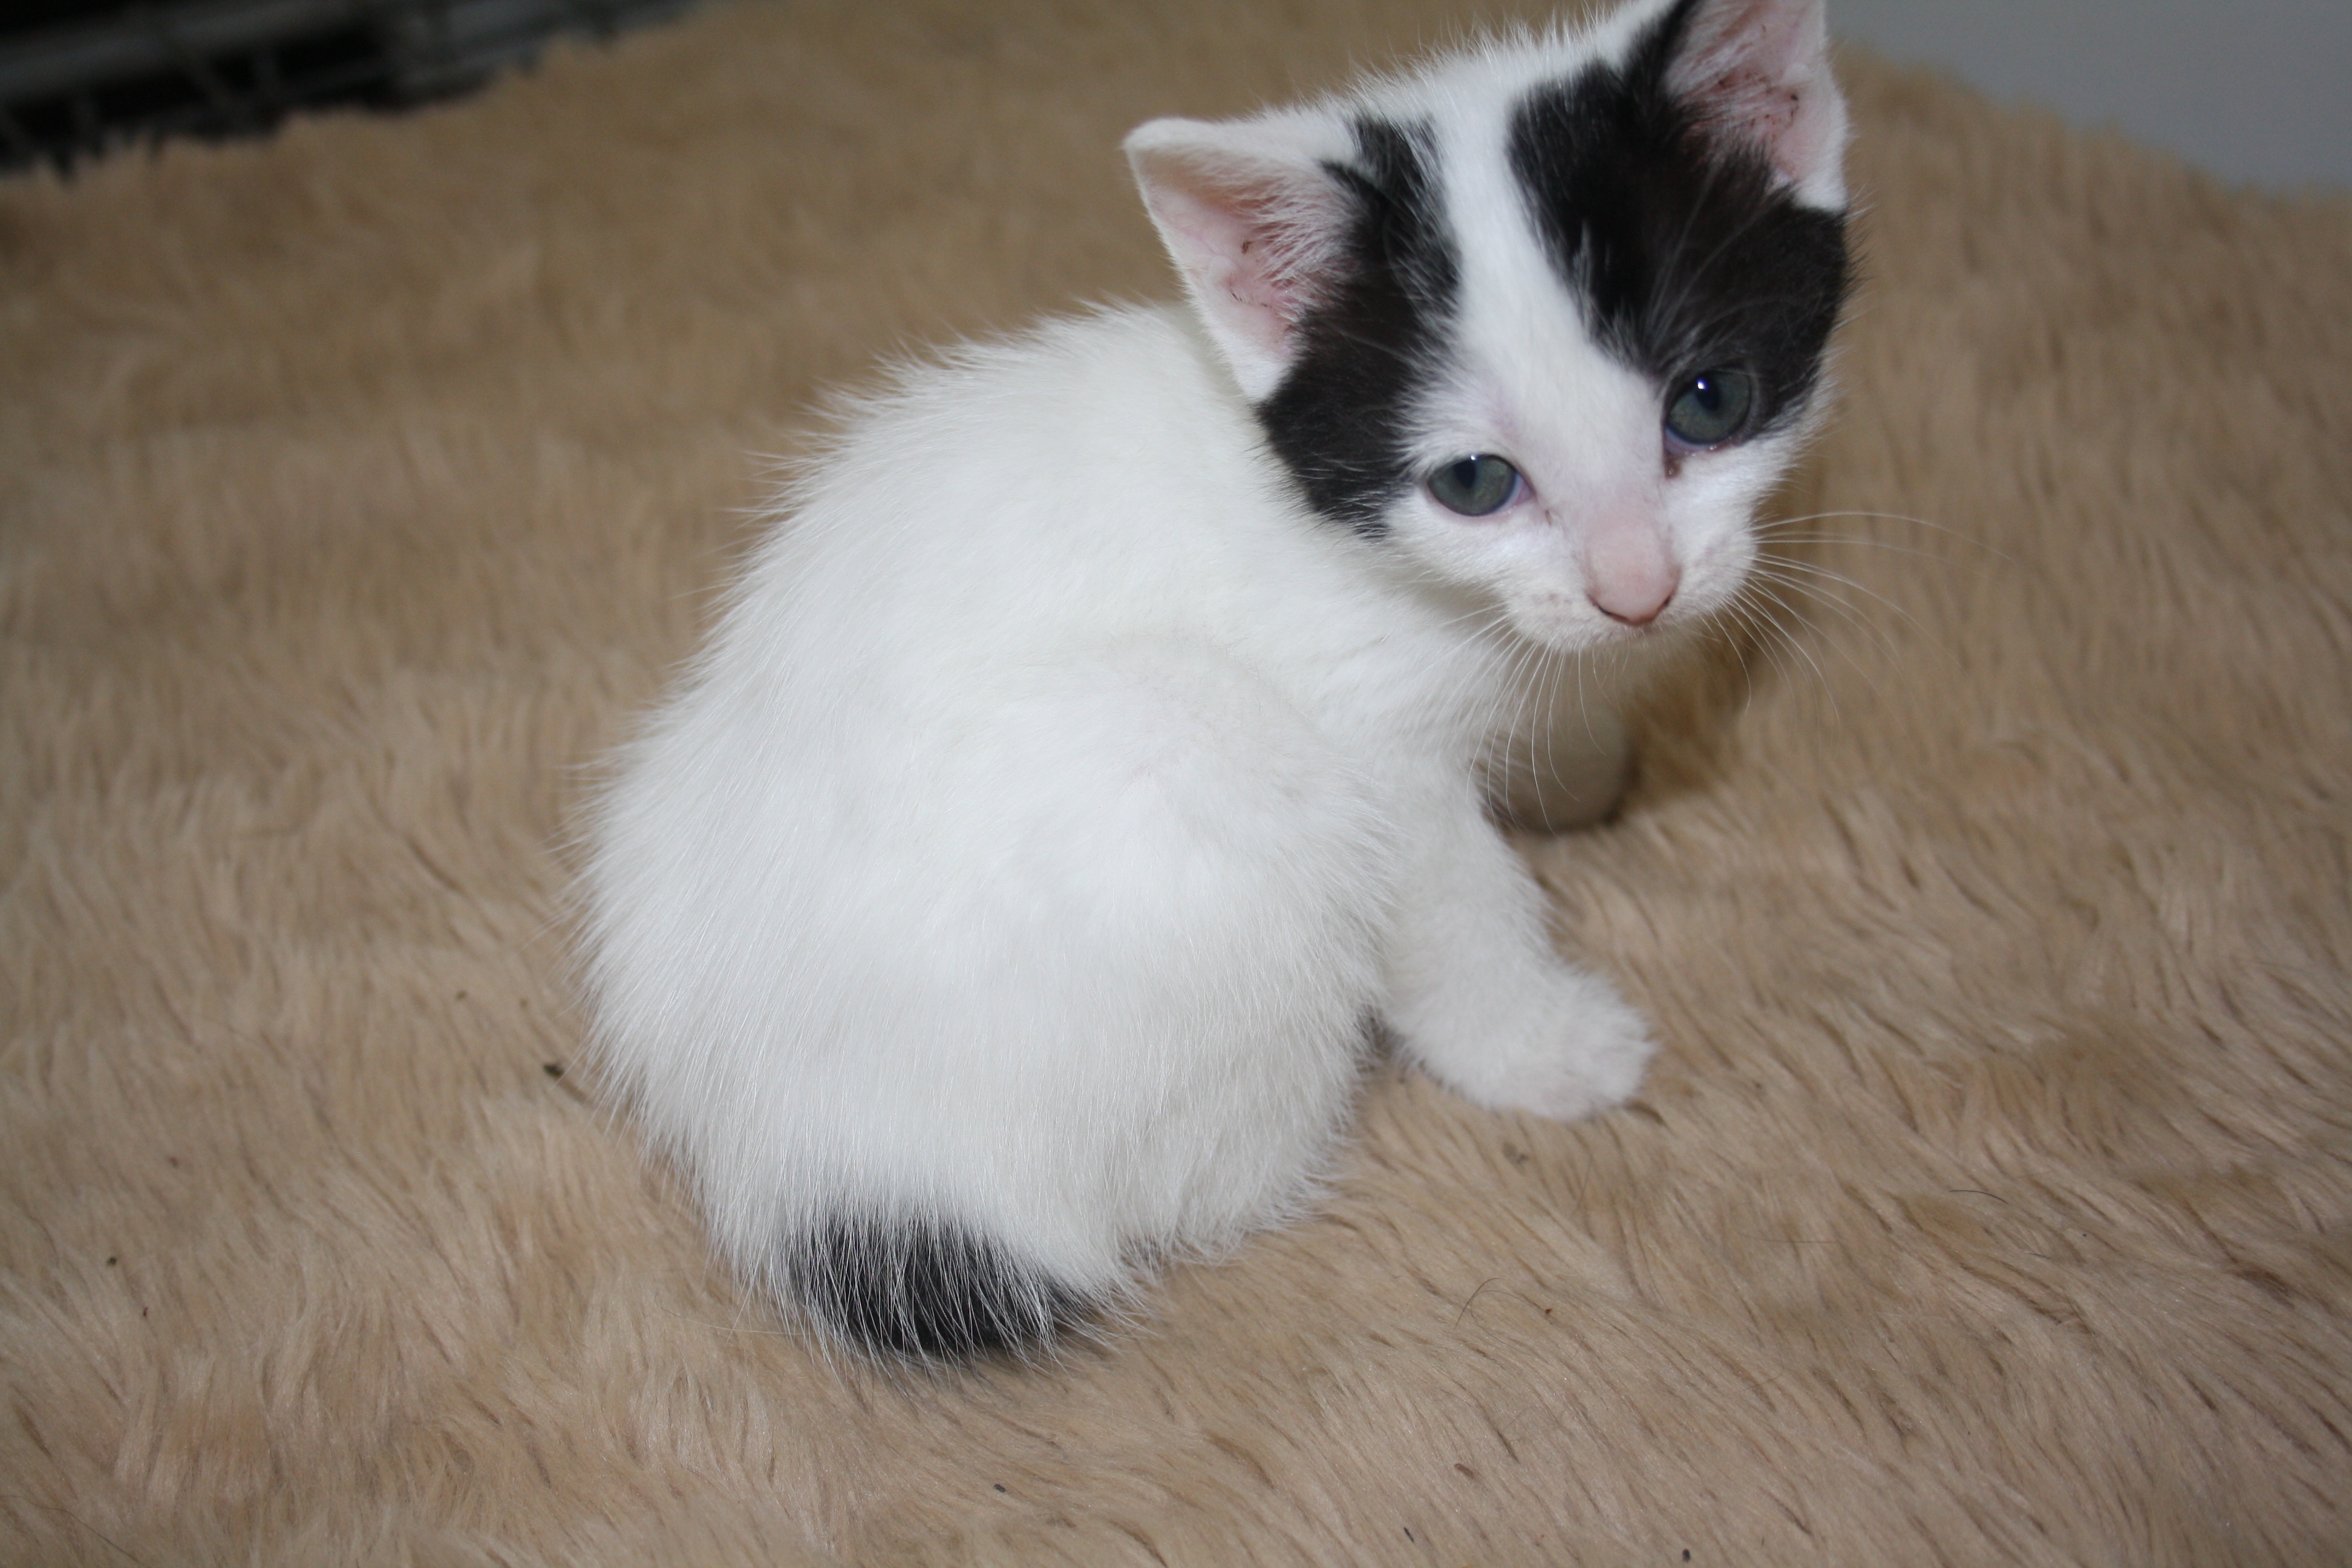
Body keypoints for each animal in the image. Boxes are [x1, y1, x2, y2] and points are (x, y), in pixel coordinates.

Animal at [579, 0, 1851, 1362]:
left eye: (1710, 401)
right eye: (1474, 483)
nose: (1637, 587)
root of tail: (789, 1161)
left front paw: (1579, 767)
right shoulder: (1367, 746)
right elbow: (1452, 907)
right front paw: (1543, 1050)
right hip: (1199, 765)